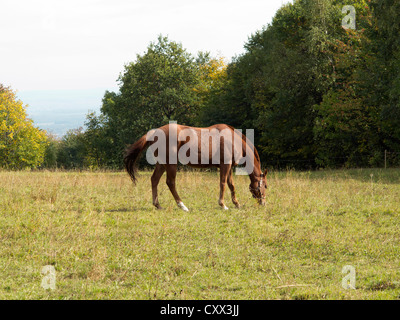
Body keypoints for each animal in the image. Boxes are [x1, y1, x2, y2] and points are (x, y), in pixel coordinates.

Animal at [123, 124, 268, 211]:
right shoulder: (225, 165)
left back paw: (158, 205)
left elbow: (231, 184)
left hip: (162, 164)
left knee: (154, 180)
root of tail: (155, 132)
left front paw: (236, 203)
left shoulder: (229, 167)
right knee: (170, 182)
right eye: (265, 186)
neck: (232, 140)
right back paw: (182, 205)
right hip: (170, 164)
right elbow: (223, 184)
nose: (263, 203)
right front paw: (223, 204)